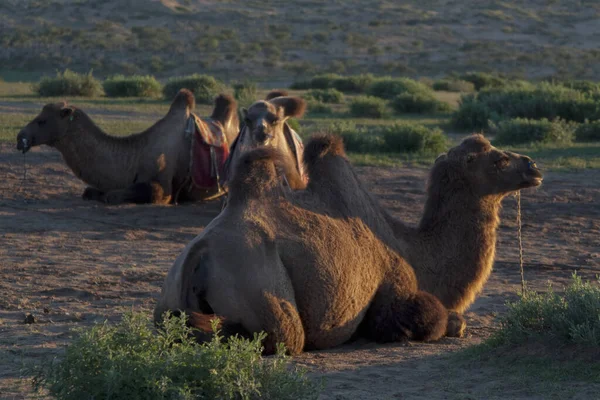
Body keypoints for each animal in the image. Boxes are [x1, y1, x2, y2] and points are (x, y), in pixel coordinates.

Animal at [15, 89, 239, 205]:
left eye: (42, 121)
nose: (20, 137)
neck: (135, 157)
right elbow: (90, 191)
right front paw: (95, 193)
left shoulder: (164, 188)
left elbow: (115, 195)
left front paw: (107, 196)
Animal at [154, 136, 450, 354]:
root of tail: (198, 253)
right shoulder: (394, 284)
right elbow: (432, 318)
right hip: (263, 290)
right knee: (282, 336)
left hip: (169, 294)